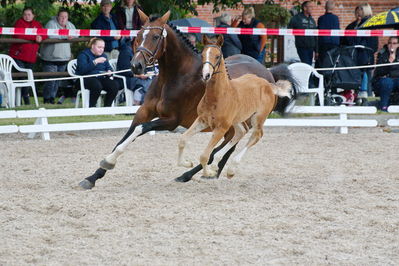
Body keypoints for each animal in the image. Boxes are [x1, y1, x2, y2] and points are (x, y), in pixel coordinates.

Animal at [179, 34, 294, 177]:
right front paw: (187, 164)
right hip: (238, 119)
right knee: (242, 131)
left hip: (258, 118)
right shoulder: (202, 120)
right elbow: (182, 140)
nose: (206, 75)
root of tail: (268, 84)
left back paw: (231, 169)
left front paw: (208, 173)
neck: (218, 96)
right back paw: (218, 166)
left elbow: (204, 156)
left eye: (217, 56)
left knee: (256, 135)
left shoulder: (221, 128)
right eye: (202, 55)